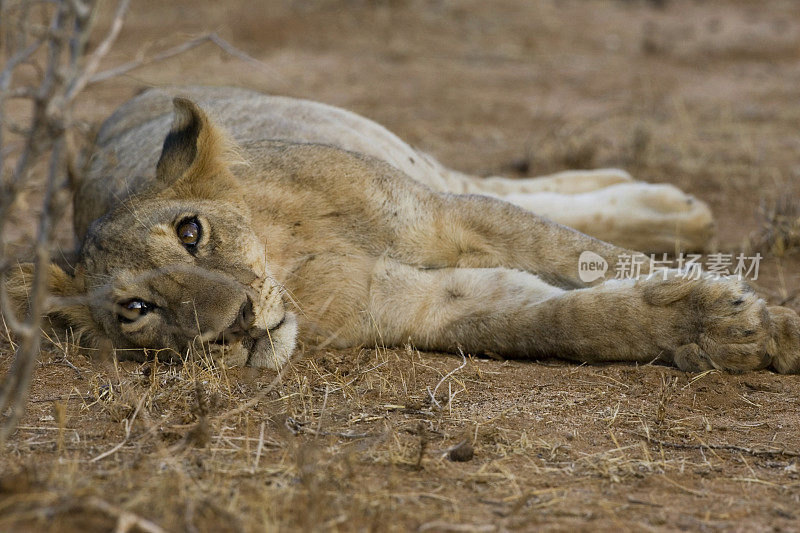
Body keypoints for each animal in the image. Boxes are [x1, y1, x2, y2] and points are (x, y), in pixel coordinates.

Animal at [6, 85, 800, 372]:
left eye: (191, 232)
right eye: (136, 310)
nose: (234, 325)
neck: (290, 259)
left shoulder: (447, 218)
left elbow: (579, 252)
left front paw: (766, 320)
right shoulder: (424, 306)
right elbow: (570, 322)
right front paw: (726, 329)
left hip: (410, 160)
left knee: (505, 185)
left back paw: (677, 208)